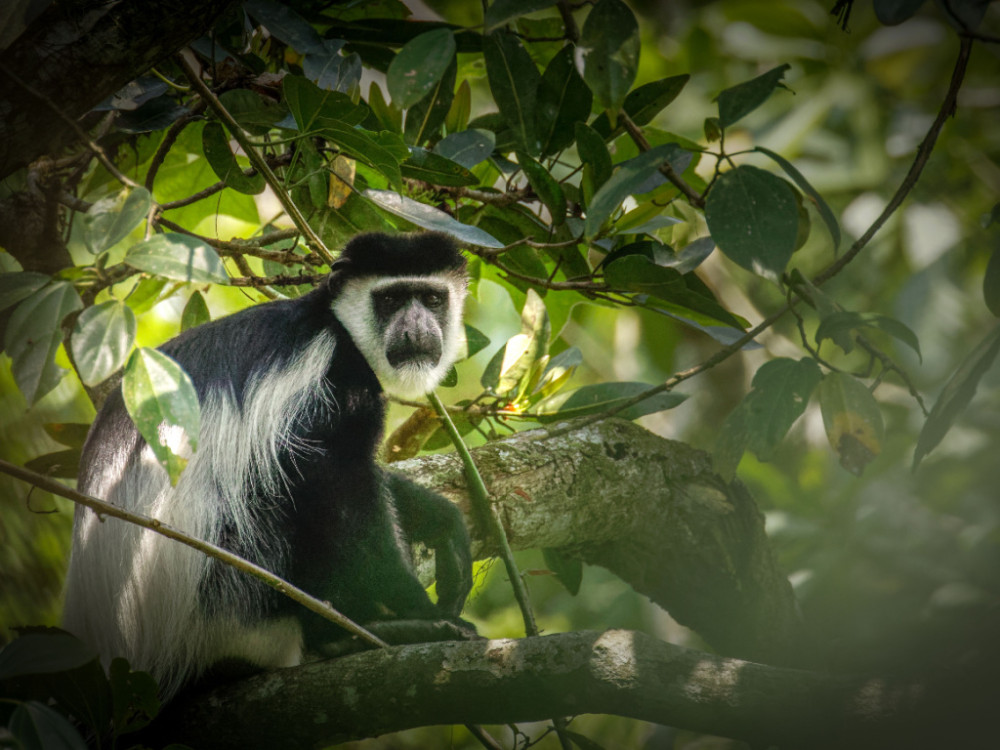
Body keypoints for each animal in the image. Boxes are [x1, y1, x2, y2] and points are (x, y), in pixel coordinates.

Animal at [63, 232, 476, 704]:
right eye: (389, 299)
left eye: (432, 298)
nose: (416, 329)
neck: (335, 326)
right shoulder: (327, 375)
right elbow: (330, 478)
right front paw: (415, 610)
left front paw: (440, 520)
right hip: (228, 596)